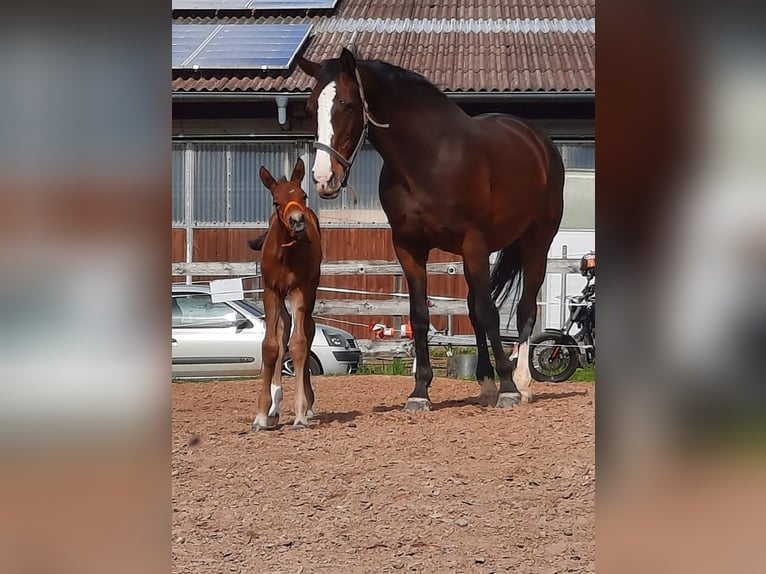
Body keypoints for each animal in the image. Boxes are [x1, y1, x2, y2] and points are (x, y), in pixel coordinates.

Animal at [252, 160, 324, 430]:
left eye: (303, 195)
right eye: (276, 201)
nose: (297, 221)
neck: (286, 255)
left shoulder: (300, 291)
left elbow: (299, 343)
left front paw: (301, 412)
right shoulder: (271, 292)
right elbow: (271, 346)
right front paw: (262, 415)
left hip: (309, 293)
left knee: (308, 331)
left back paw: (307, 405)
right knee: (282, 330)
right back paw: (274, 406)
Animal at [296, 48, 568, 410]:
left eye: (348, 105)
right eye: (311, 108)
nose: (324, 178)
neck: (426, 158)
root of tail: (538, 141)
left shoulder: (473, 242)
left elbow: (489, 312)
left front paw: (508, 387)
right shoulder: (409, 247)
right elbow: (421, 314)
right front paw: (420, 391)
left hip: (537, 239)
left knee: (524, 308)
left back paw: (522, 383)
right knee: (473, 308)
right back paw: (485, 384)